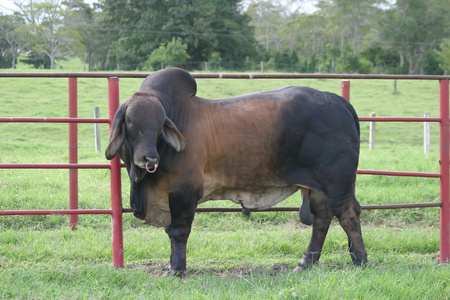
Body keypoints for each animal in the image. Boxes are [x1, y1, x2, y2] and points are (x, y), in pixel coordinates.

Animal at [107, 67, 368, 274]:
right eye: (131, 122)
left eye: (160, 124)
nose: (148, 157)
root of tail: (339, 101)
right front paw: (173, 266)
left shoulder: (184, 193)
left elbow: (179, 232)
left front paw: (177, 270)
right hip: (318, 188)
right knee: (322, 218)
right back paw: (306, 263)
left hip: (337, 183)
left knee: (348, 214)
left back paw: (360, 260)